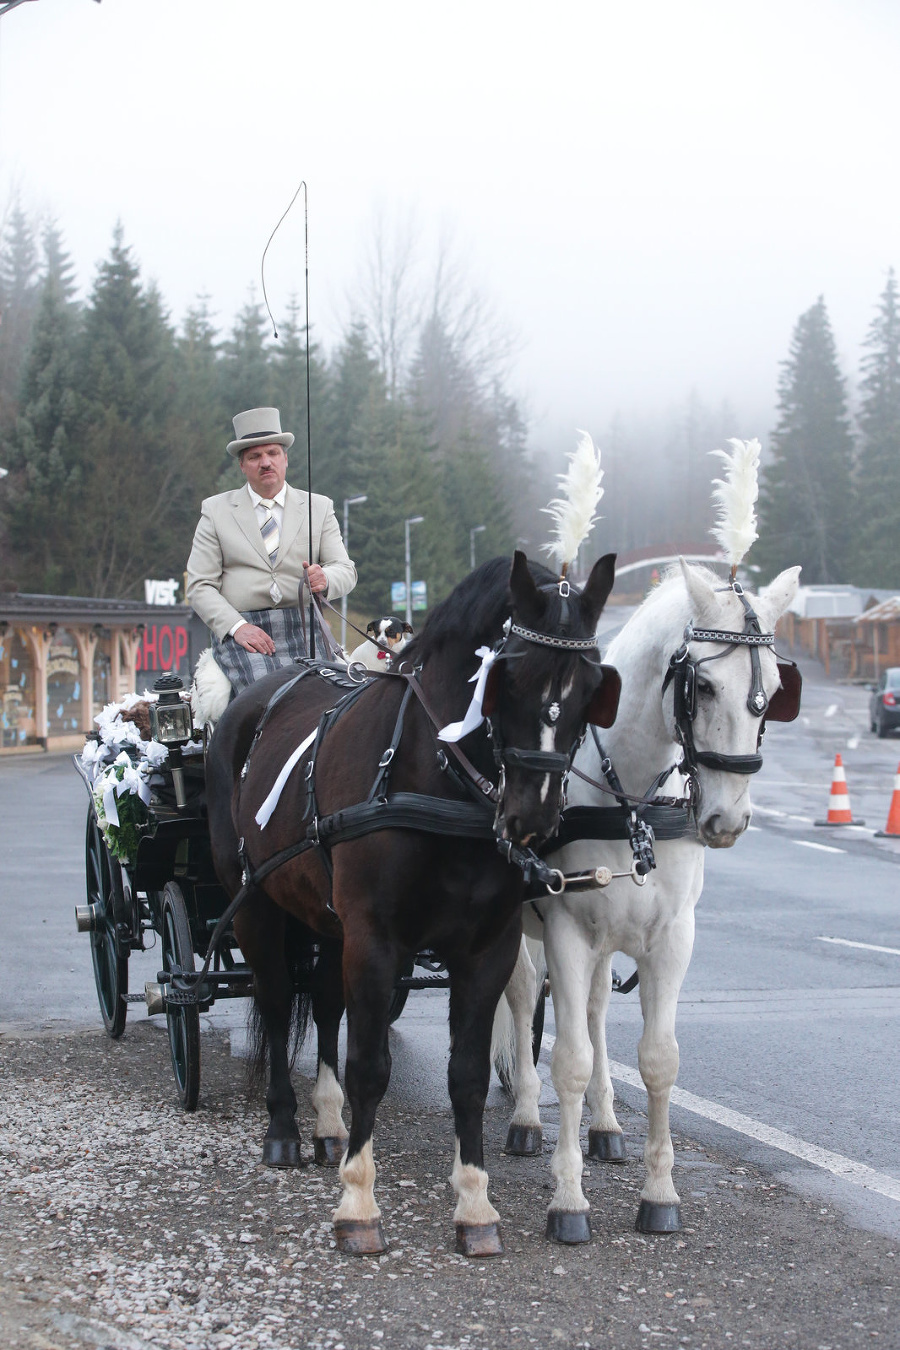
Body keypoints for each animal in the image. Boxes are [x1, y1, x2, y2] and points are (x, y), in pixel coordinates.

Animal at [205, 548, 615, 1252]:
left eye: (592, 688)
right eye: (509, 676)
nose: (532, 817)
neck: (435, 772)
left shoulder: (486, 947)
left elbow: (467, 1074)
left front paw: (474, 1205)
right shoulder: (375, 939)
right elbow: (371, 1065)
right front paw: (358, 1205)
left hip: (327, 923)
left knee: (324, 1003)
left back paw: (328, 1125)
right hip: (256, 907)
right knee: (280, 1000)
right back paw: (284, 1129)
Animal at [499, 558, 804, 1242]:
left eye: (774, 691)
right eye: (705, 686)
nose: (727, 819)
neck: (630, 803)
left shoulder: (670, 940)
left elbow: (658, 1059)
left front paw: (659, 1194)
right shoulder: (565, 930)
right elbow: (569, 1060)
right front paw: (568, 1200)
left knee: (590, 1012)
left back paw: (606, 1126)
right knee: (526, 997)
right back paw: (526, 1117)